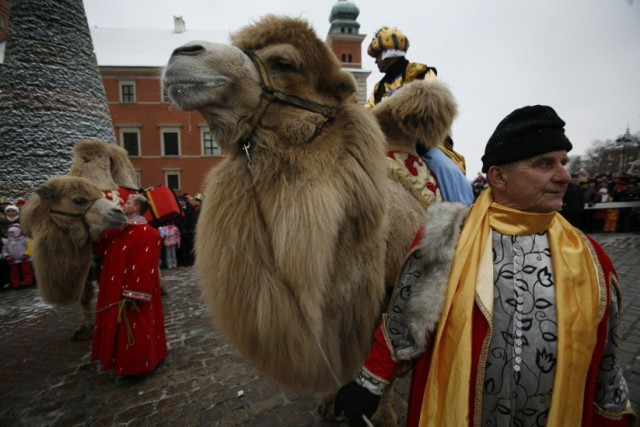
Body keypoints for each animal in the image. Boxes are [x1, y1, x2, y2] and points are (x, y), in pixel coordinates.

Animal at [162, 15, 458, 420]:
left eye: (285, 63)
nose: (181, 53)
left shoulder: (382, 295)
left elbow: (381, 356)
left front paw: (376, 412)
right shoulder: (334, 311)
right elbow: (340, 357)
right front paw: (333, 400)